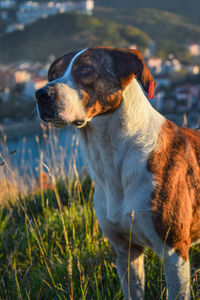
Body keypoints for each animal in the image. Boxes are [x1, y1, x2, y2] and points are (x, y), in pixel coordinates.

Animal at [36, 47, 200, 300]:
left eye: (86, 70)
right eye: (52, 74)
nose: (41, 94)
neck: (112, 158)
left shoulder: (174, 252)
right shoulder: (125, 252)